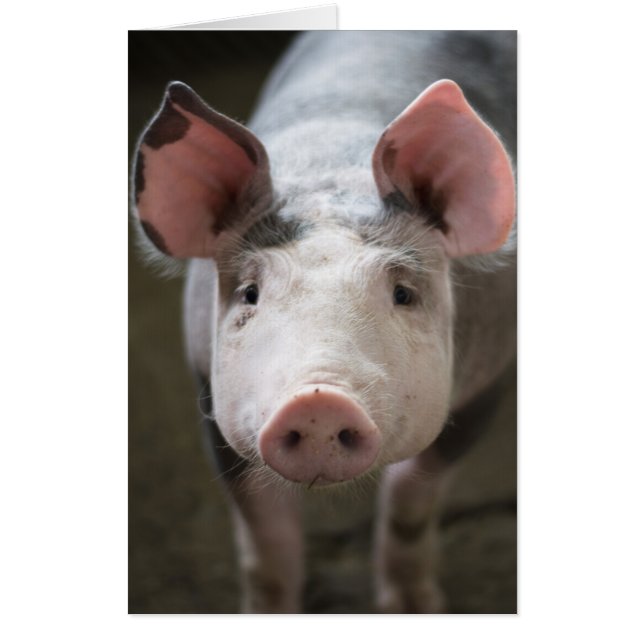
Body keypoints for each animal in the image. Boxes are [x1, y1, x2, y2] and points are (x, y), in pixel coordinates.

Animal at [131, 30, 516, 613]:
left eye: (403, 293)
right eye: (250, 293)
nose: (317, 400)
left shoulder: (487, 380)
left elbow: (411, 504)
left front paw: (416, 607)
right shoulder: (208, 389)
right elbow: (265, 537)